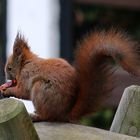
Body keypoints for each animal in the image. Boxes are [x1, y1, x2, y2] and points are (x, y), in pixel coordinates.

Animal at [1, 29, 140, 121]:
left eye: (9, 68)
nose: (6, 78)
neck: (26, 64)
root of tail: (64, 114)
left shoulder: (27, 74)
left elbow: (23, 91)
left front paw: (7, 91)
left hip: (41, 88)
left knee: (47, 116)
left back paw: (36, 116)